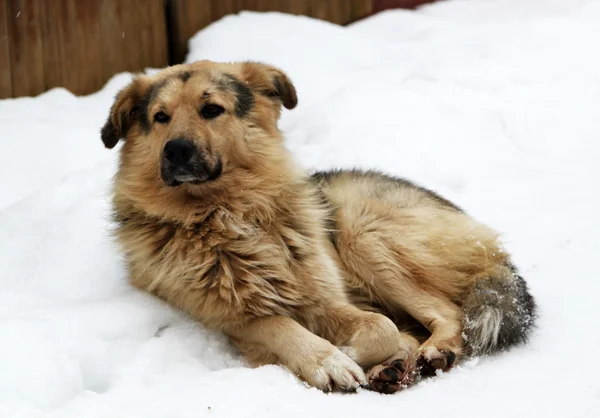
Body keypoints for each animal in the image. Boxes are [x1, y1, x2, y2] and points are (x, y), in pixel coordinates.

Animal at [101, 60, 536, 394]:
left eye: (211, 110)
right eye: (160, 117)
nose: (175, 150)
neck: (225, 216)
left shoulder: (329, 300)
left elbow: (381, 328)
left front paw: (356, 353)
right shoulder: (232, 319)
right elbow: (279, 325)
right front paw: (329, 359)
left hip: (360, 231)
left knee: (448, 310)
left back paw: (432, 351)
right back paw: (395, 368)